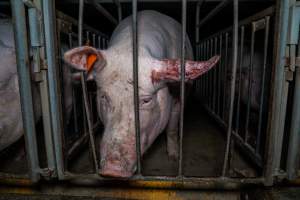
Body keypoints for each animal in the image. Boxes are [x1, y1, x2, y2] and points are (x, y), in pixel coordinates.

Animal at [63, 10, 218, 177]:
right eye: (104, 97)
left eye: (146, 100)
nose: (112, 170)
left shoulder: (178, 96)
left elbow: (172, 127)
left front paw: (174, 158)